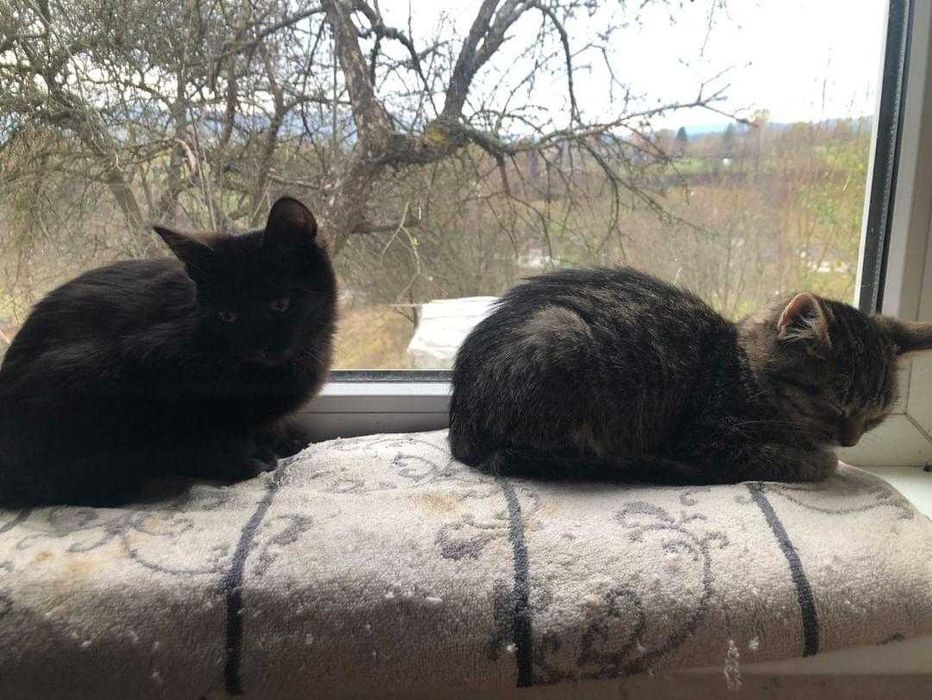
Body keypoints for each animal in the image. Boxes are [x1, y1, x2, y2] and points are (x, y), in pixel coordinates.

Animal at [0, 197, 337, 506]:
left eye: (281, 304)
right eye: (227, 316)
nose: (258, 348)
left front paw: (285, 440)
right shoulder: (150, 364)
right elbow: (207, 438)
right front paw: (245, 461)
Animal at [449, 267, 932, 484]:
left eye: (874, 417)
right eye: (832, 404)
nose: (850, 441)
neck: (743, 372)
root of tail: (463, 430)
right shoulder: (708, 437)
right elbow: (784, 457)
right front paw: (820, 461)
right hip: (561, 341)